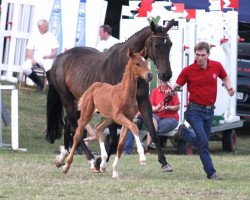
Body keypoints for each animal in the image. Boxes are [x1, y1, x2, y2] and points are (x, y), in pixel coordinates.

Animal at [62, 48, 152, 178]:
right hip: (87, 114)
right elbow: (135, 127)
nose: (149, 75)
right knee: (78, 134)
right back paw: (66, 166)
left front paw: (115, 171)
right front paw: (143, 159)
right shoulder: (119, 116)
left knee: (99, 127)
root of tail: (92, 86)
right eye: (137, 64)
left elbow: (120, 145)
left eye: (146, 62)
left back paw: (103, 164)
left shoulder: (128, 118)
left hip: (109, 118)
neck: (125, 94)